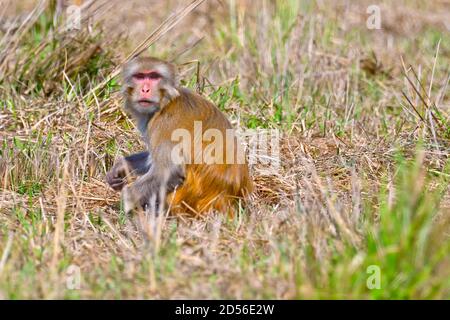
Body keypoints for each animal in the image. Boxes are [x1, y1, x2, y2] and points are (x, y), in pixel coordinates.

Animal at [106, 56, 253, 216]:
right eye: (139, 76)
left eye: (154, 76)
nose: (145, 89)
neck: (166, 101)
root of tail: (229, 200)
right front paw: (121, 166)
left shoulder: (165, 123)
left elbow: (169, 170)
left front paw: (125, 204)